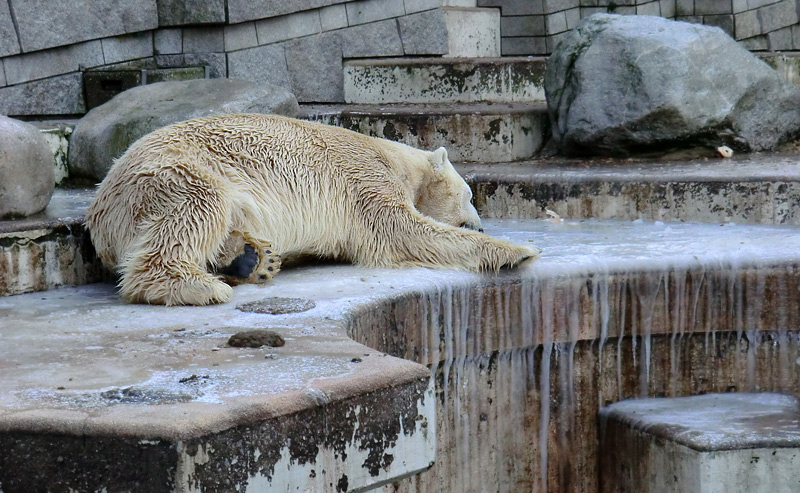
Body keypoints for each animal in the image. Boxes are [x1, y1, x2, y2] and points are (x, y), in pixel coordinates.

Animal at [84, 113, 540, 304]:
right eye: (469, 196)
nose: (479, 225)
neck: (396, 158)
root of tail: (99, 213)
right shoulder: (366, 177)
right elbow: (401, 229)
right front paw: (518, 250)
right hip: (173, 172)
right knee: (198, 206)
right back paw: (200, 286)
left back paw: (253, 260)